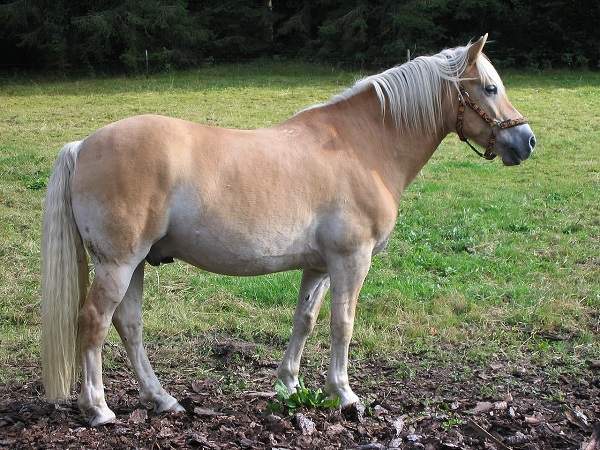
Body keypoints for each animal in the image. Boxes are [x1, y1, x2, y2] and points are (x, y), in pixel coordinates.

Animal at [42, 35, 536, 426]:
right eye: (490, 88)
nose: (527, 141)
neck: (362, 146)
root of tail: (83, 146)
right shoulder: (352, 259)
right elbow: (342, 324)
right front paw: (345, 395)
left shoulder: (319, 266)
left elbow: (305, 320)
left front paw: (288, 386)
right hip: (119, 263)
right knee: (94, 322)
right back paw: (98, 409)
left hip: (137, 262)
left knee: (129, 325)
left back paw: (163, 400)